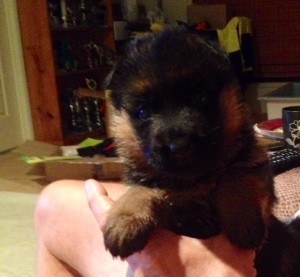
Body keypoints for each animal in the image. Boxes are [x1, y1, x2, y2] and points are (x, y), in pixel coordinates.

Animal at [102, 27, 300, 274]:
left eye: (201, 98)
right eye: (142, 112)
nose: (179, 146)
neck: (194, 180)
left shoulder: (253, 163)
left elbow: (235, 176)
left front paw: (244, 222)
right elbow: (140, 190)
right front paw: (125, 220)